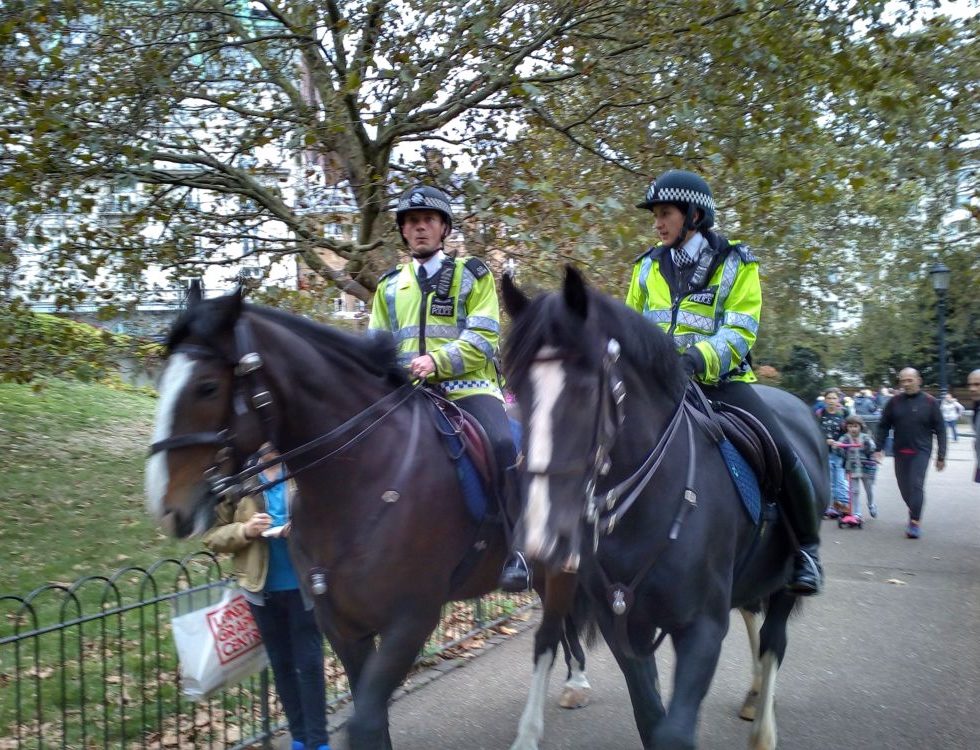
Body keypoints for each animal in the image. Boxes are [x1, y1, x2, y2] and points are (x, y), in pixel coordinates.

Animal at [145, 284, 588, 748]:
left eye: (208, 387)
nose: (166, 506)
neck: (364, 476)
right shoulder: (341, 625)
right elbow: (369, 714)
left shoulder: (411, 619)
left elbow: (366, 721)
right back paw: (574, 680)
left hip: (559, 567)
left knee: (547, 636)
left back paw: (536, 724)